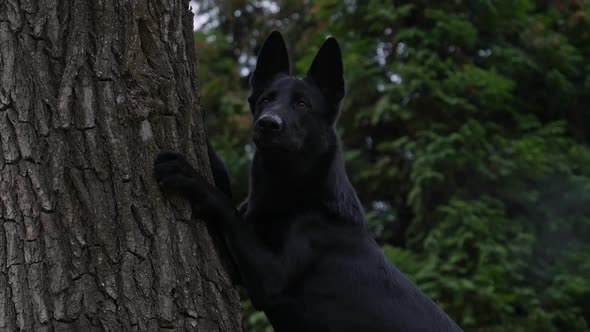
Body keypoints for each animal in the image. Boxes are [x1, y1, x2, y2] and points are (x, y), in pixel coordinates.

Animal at [154, 31, 462, 332]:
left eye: (302, 104)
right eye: (265, 100)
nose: (267, 124)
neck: (291, 187)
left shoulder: (271, 277)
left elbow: (226, 208)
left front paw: (188, 175)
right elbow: (222, 179)